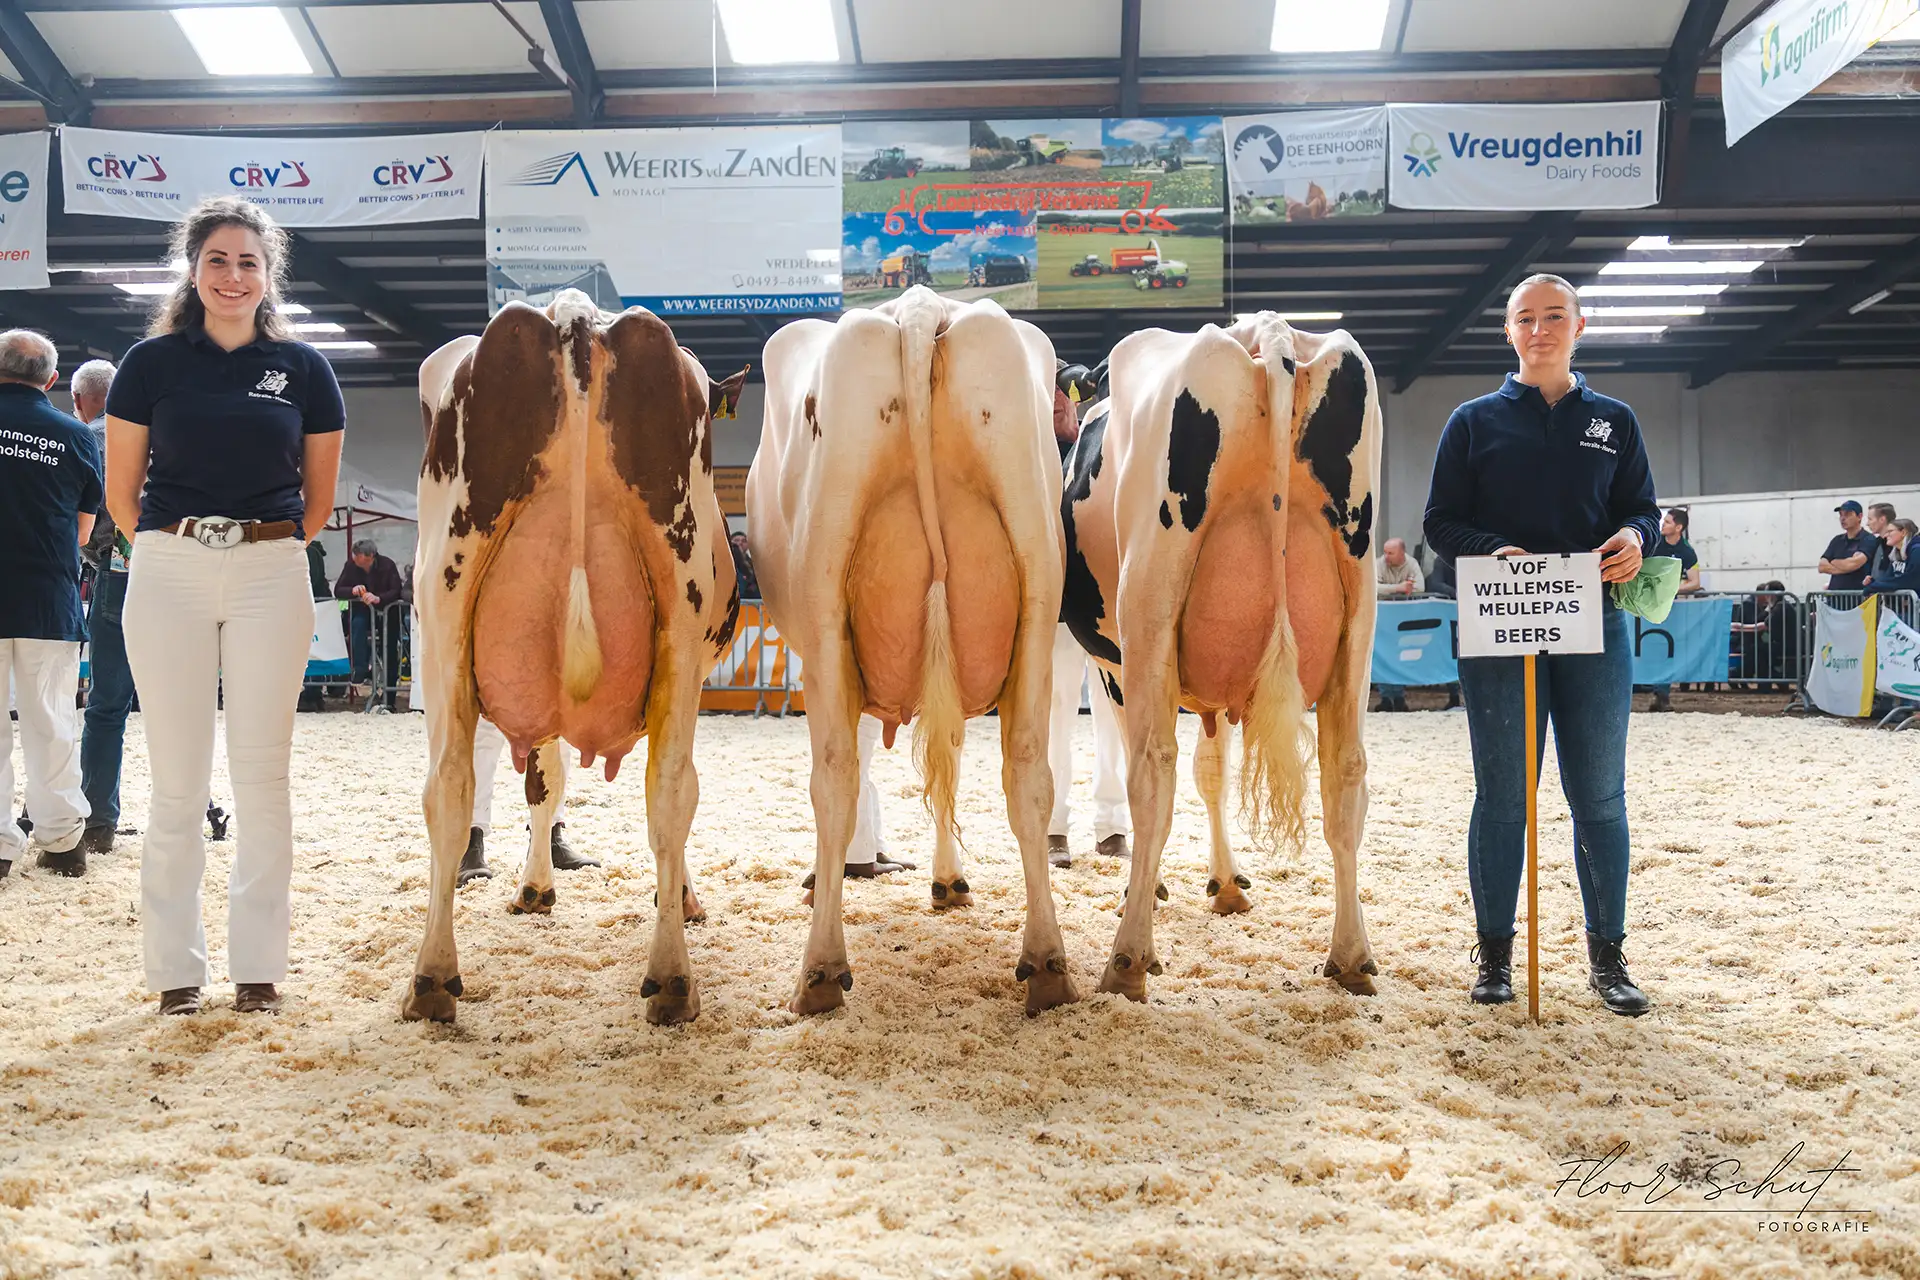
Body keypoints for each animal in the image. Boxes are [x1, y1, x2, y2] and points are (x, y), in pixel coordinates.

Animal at [405, 290, 746, 1027]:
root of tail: (574, 313)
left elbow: (546, 778)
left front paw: (536, 887)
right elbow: (555, 779)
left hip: (444, 622)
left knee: (449, 788)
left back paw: (433, 978)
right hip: (677, 625)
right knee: (670, 790)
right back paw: (672, 977)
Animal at [747, 286, 1076, 1016]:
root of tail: (919, 311)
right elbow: (947, 748)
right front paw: (948, 880)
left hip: (824, 616)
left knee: (834, 778)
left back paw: (820, 970)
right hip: (1039, 605)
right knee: (1027, 774)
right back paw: (1047, 963)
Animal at [1060, 312, 1382, 1001]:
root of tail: (1270, 332)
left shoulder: (1115, 667)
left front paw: (1152, 886)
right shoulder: (1212, 686)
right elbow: (1213, 769)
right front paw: (1228, 883)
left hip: (1149, 603)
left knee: (1152, 769)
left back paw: (1129, 959)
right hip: (1359, 609)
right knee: (1345, 772)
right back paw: (1351, 956)